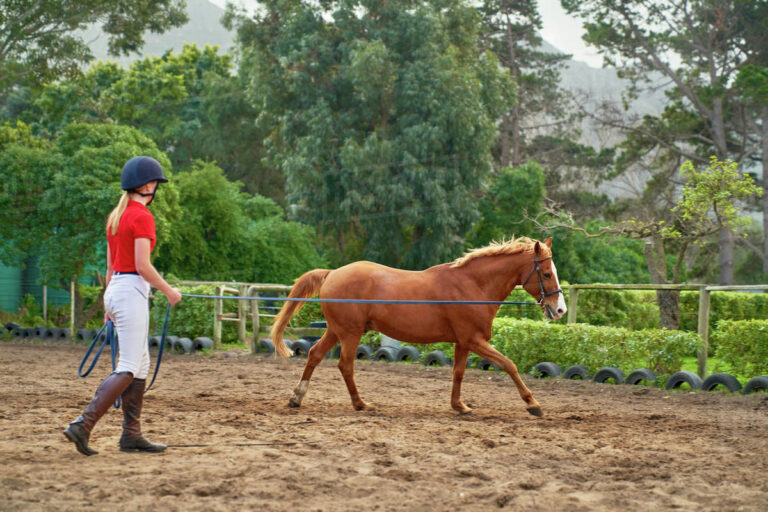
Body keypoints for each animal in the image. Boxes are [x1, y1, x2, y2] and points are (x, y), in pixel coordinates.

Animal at [269, 237, 566, 417]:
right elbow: (509, 365)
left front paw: (459, 406)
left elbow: (458, 373)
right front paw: (533, 404)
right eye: (546, 273)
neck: (473, 286)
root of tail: (332, 273)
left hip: (336, 330)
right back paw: (360, 403)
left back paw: (297, 398)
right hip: (350, 333)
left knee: (315, 355)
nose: (560, 310)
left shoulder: (463, 342)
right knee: (345, 365)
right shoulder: (475, 340)